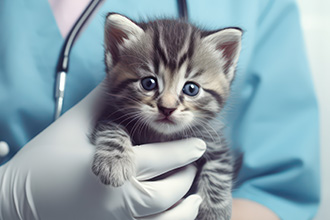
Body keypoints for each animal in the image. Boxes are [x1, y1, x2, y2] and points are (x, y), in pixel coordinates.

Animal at [90, 12, 242, 219]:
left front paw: (214, 211)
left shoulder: (214, 141)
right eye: (148, 83)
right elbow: (112, 128)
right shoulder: (109, 114)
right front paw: (114, 161)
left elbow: (219, 168)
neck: (162, 136)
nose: (167, 108)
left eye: (191, 89)